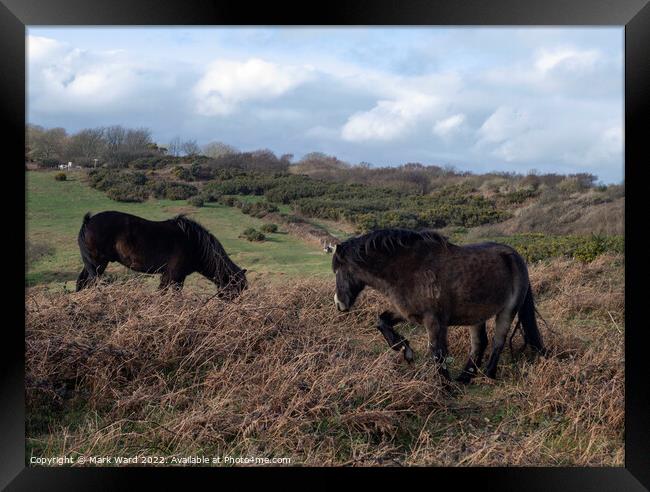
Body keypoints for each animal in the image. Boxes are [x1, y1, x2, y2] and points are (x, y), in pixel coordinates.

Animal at [76, 209, 247, 294]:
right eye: (236, 288)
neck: (194, 244)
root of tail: (88, 221)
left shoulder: (168, 276)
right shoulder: (175, 277)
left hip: (92, 264)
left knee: (82, 282)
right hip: (98, 263)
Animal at [332, 229, 544, 382]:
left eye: (338, 270)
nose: (339, 303)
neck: (408, 269)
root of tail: (514, 256)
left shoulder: (434, 320)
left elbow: (437, 351)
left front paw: (444, 387)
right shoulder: (408, 312)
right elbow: (382, 321)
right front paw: (405, 350)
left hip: (507, 311)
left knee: (498, 341)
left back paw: (488, 375)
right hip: (476, 314)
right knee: (479, 343)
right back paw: (464, 378)